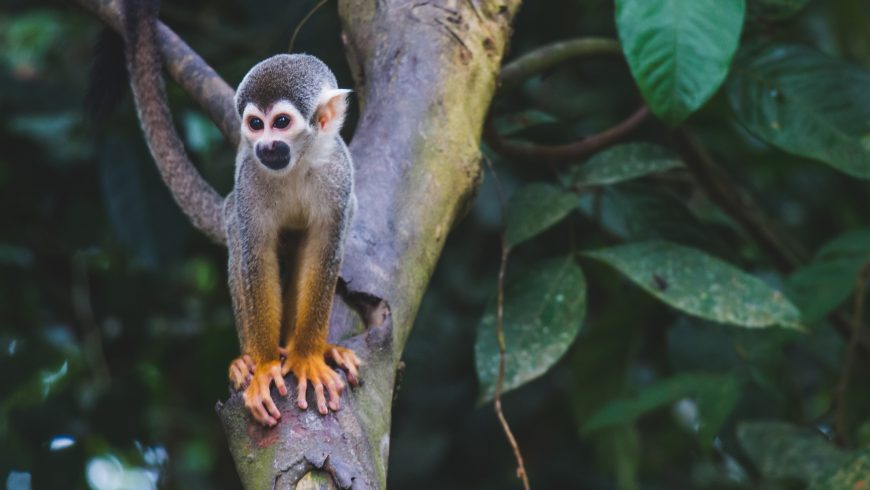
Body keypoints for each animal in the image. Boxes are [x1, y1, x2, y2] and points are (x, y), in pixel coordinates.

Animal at [120, 0, 362, 426]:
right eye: (255, 124)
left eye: (280, 123)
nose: (266, 146)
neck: (297, 163)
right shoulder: (249, 175)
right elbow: (256, 256)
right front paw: (265, 367)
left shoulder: (338, 173)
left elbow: (324, 250)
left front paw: (307, 356)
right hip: (235, 204)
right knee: (239, 240)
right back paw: (247, 361)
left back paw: (317, 347)